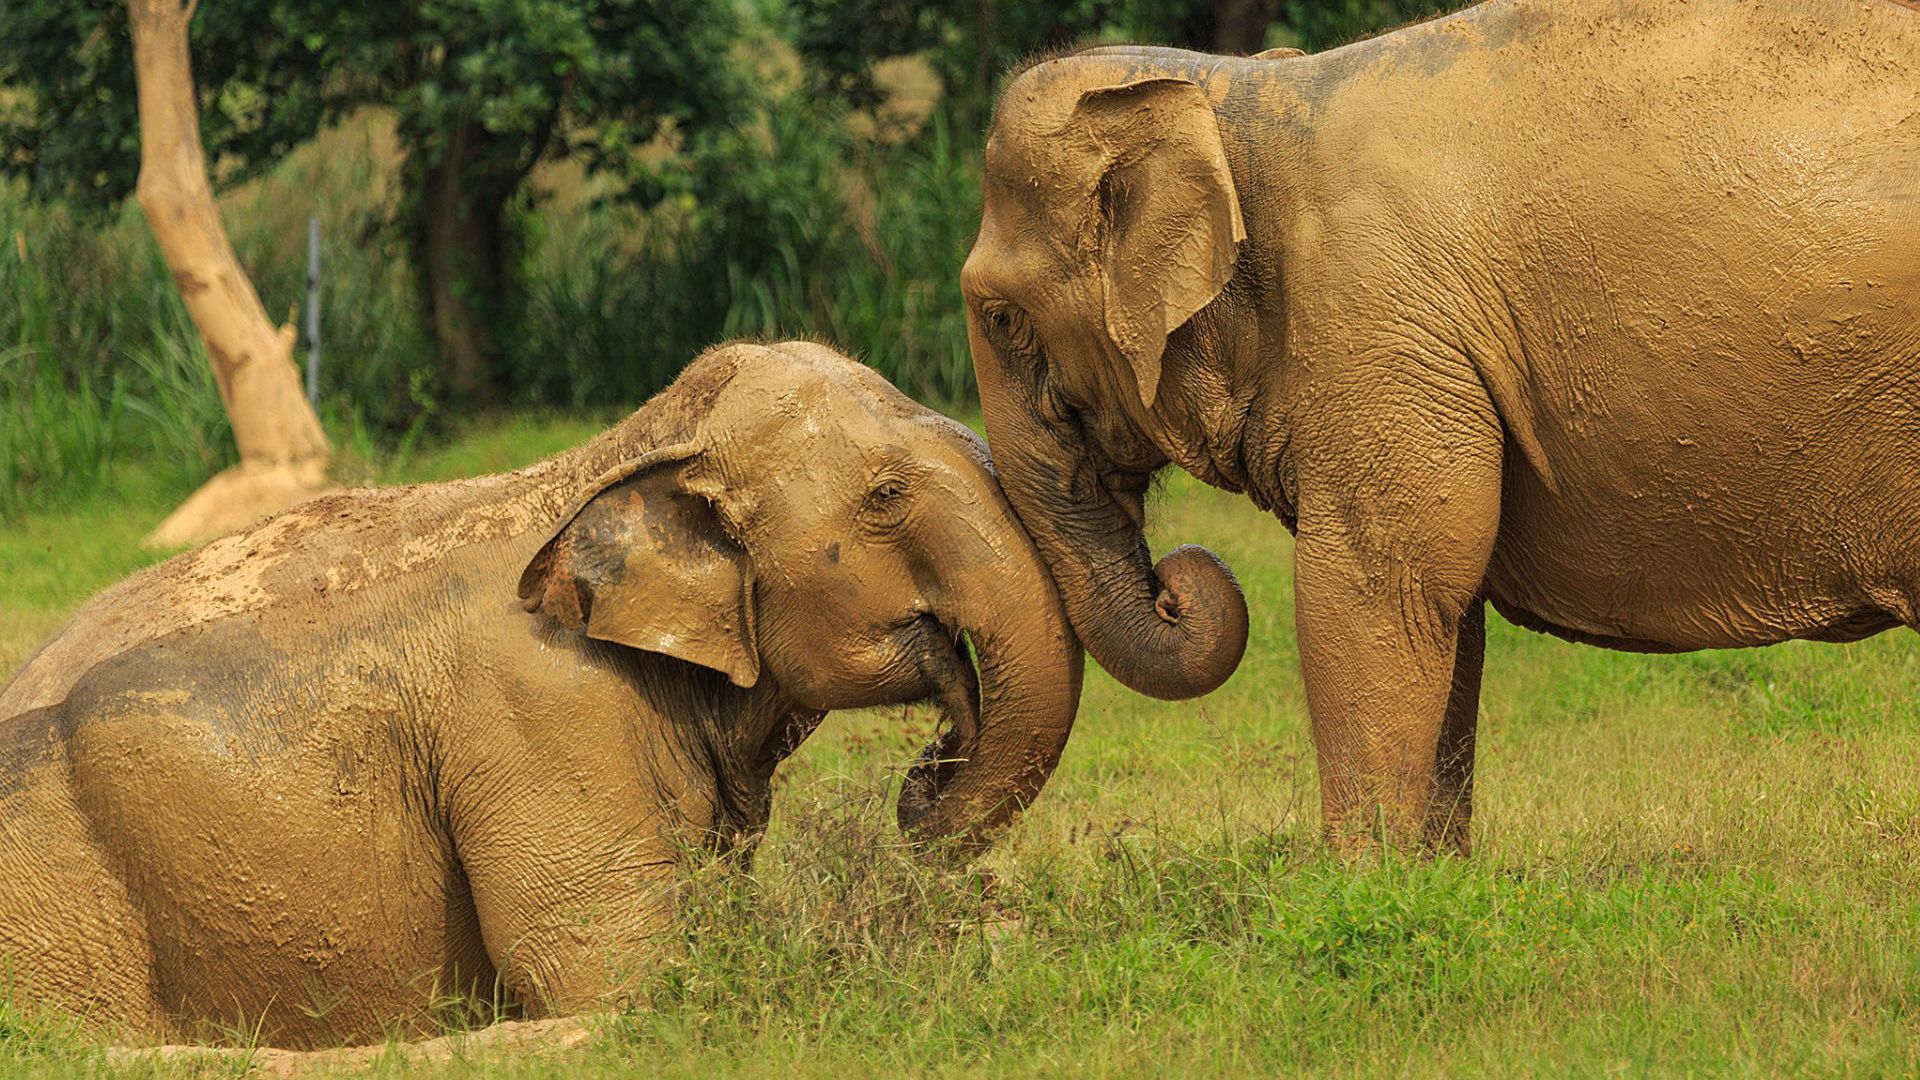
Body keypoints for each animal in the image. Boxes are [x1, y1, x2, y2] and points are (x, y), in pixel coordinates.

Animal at [959, 0, 1920, 853]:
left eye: (1001, 318)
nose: (1176, 586)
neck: (1241, 100)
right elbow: (1447, 615)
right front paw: (1427, 880)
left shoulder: (1376, 318)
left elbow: (1380, 584)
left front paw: (1357, 884)